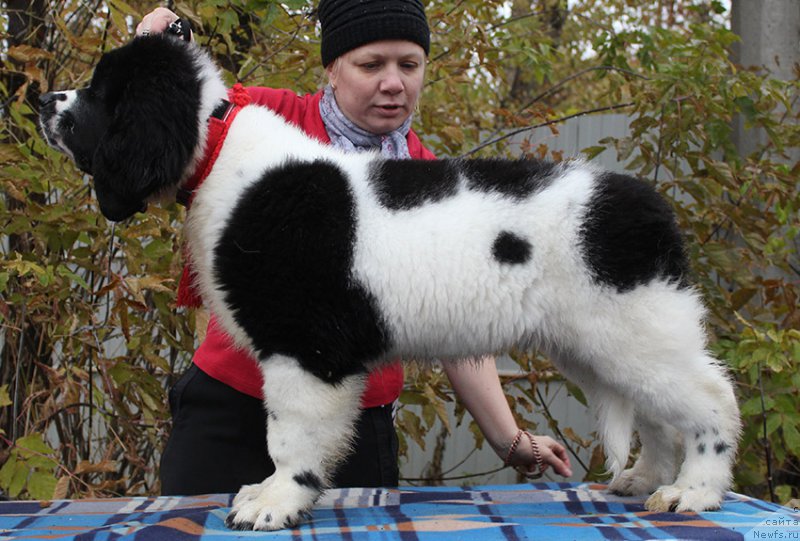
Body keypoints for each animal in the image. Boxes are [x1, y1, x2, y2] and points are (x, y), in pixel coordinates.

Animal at [37, 35, 736, 528]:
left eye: (100, 92)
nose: (45, 101)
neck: (215, 149)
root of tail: (651, 204)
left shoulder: (303, 345)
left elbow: (288, 433)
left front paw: (274, 502)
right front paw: (269, 493)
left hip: (635, 326)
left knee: (708, 400)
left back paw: (693, 492)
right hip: (597, 343)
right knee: (656, 414)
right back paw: (644, 481)